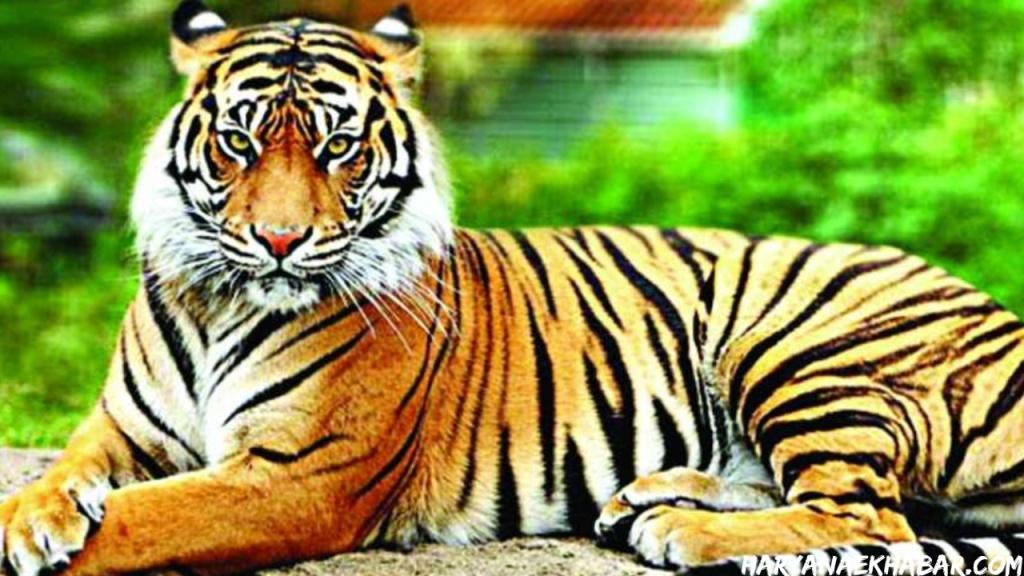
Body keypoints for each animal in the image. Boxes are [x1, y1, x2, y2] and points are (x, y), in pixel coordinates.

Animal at [3, 2, 1024, 575]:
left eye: (338, 146)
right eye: (240, 141)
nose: (280, 241)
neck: (221, 300)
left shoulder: (295, 477)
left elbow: (140, 522)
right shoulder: (122, 430)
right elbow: (65, 474)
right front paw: (34, 518)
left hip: (793, 340)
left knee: (872, 516)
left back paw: (677, 533)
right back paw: (647, 498)